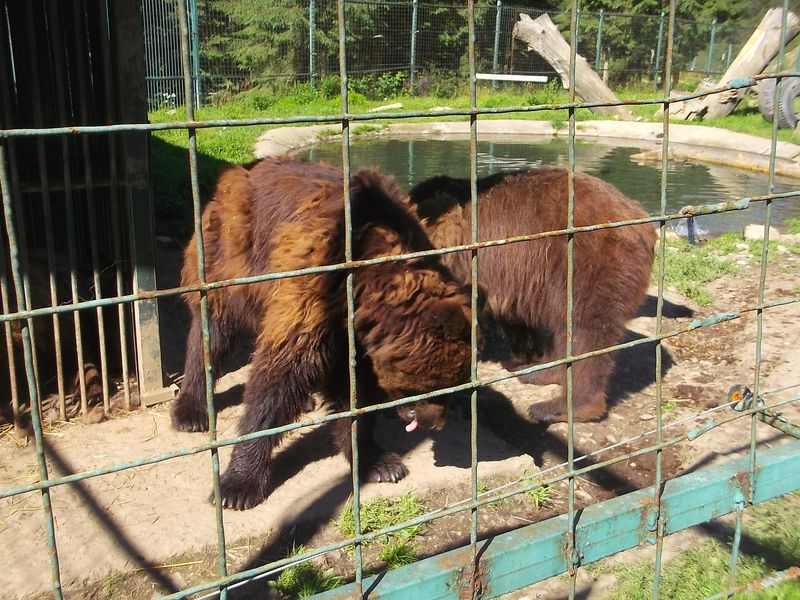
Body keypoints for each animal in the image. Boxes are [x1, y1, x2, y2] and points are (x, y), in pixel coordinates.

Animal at [171, 157, 475, 510]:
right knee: (213, 333)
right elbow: (279, 376)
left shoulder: (352, 333)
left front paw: (377, 461)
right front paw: (238, 484)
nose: (434, 422)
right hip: (228, 256)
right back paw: (191, 409)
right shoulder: (314, 287)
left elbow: (354, 392)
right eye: (438, 386)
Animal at [406, 167, 656, 423]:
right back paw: (540, 371)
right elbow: (515, 319)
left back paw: (562, 406)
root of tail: (643, 223)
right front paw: (519, 356)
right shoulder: (513, 278)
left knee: (586, 330)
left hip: (591, 264)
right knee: (565, 329)